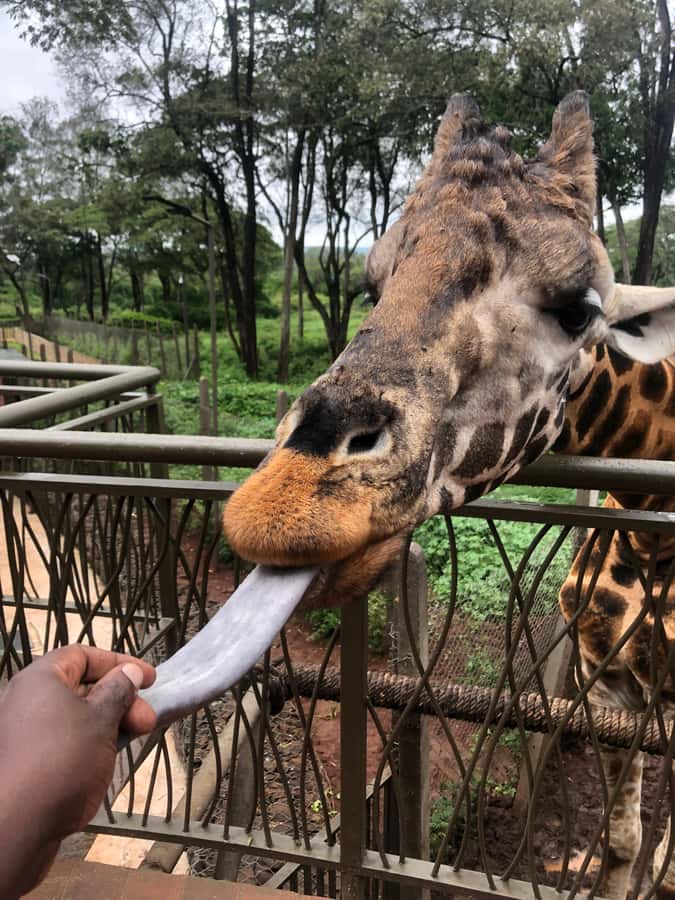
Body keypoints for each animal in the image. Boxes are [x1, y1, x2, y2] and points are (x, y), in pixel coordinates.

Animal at [223, 92, 675, 894]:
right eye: (374, 288)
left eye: (578, 309)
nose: (281, 505)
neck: (654, 533)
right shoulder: (609, 687)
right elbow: (622, 842)